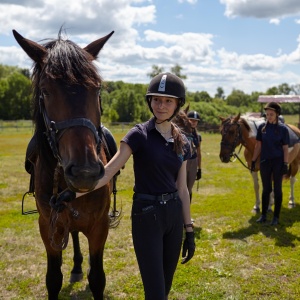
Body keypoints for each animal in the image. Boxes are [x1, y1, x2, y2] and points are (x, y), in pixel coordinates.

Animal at [12, 28, 113, 300]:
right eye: (46, 91)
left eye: (97, 90)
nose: (85, 172)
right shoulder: (48, 227)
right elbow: (53, 279)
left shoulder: (99, 227)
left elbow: (97, 278)